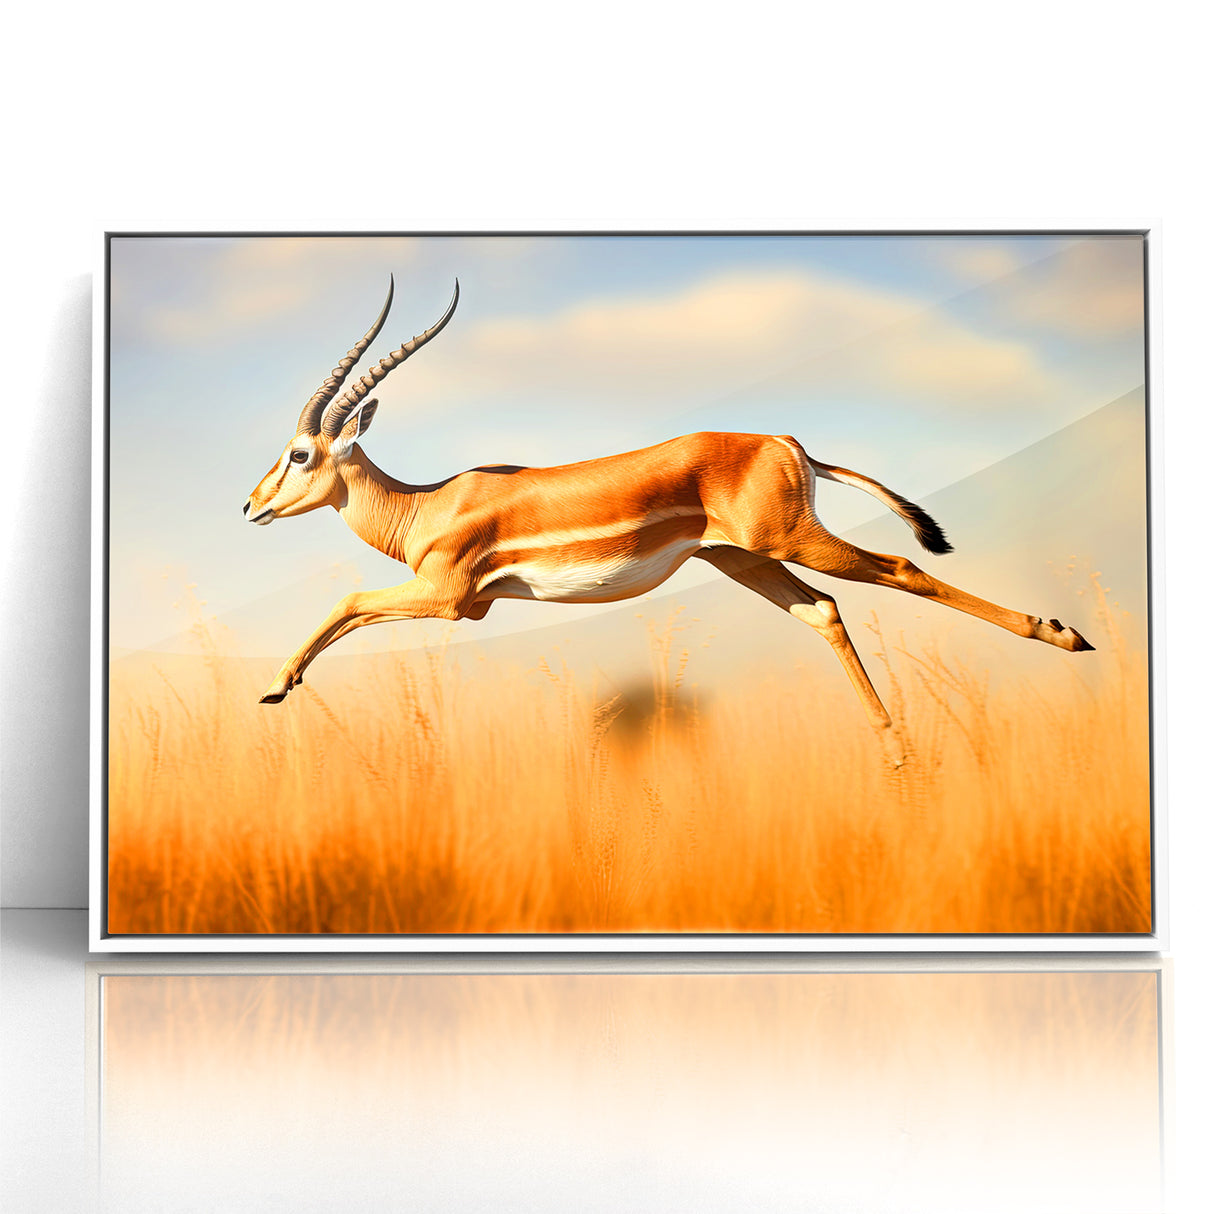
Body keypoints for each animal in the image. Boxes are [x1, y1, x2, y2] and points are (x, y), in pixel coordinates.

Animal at [244, 278, 1094, 765]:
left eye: (298, 453)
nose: (251, 505)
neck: (424, 504)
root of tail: (787, 442)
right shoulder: (459, 604)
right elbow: (354, 611)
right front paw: (282, 686)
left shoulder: (452, 598)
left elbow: (349, 601)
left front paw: (276, 687)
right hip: (741, 560)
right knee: (823, 611)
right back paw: (896, 750)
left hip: (788, 541)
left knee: (902, 569)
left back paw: (1063, 635)